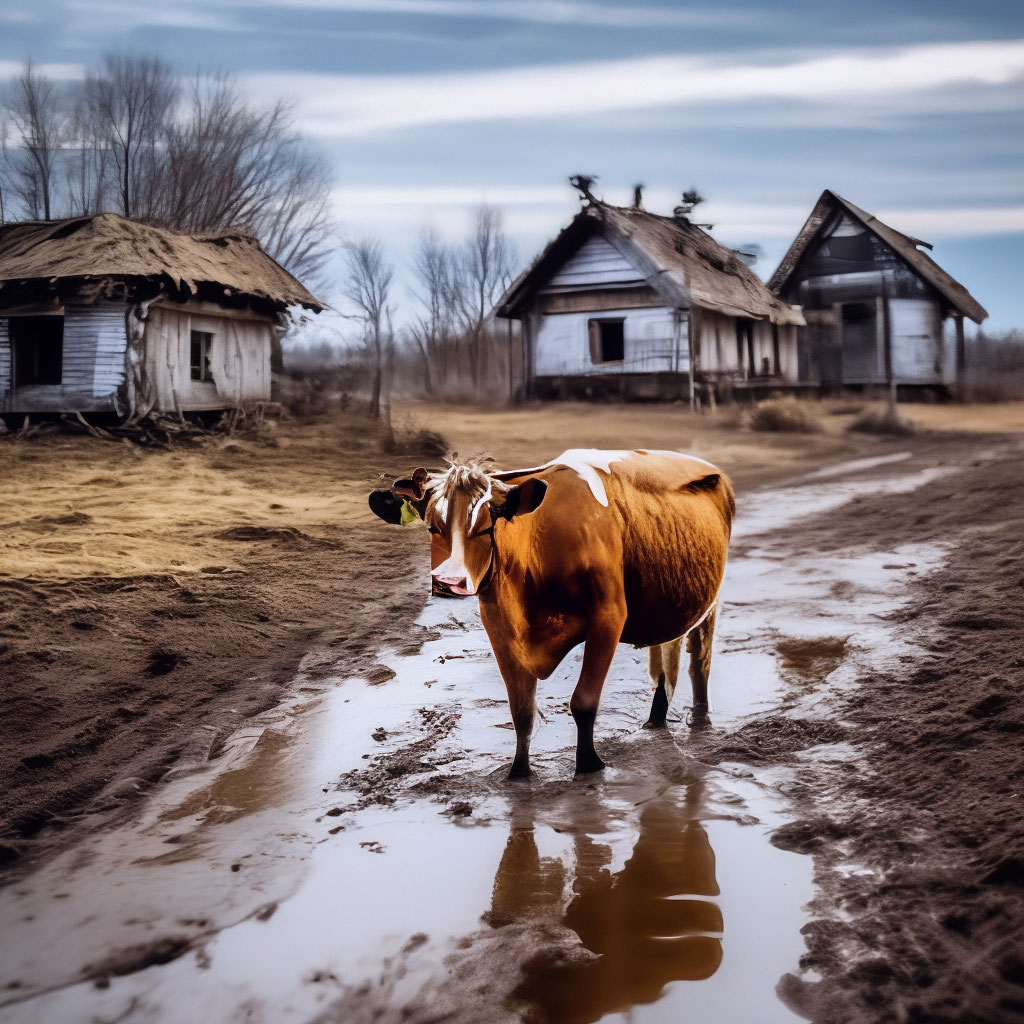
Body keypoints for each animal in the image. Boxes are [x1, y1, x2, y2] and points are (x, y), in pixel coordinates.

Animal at [368, 448, 737, 774]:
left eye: (485, 527)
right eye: (432, 527)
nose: (449, 582)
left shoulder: (608, 618)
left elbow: (583, 702)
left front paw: (588, 766)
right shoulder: (499, 624)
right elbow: (521, 711)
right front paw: (518, 773)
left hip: (711, 602)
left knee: (700, 662)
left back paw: (700, 720)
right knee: (665, 660)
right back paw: (656, 720)